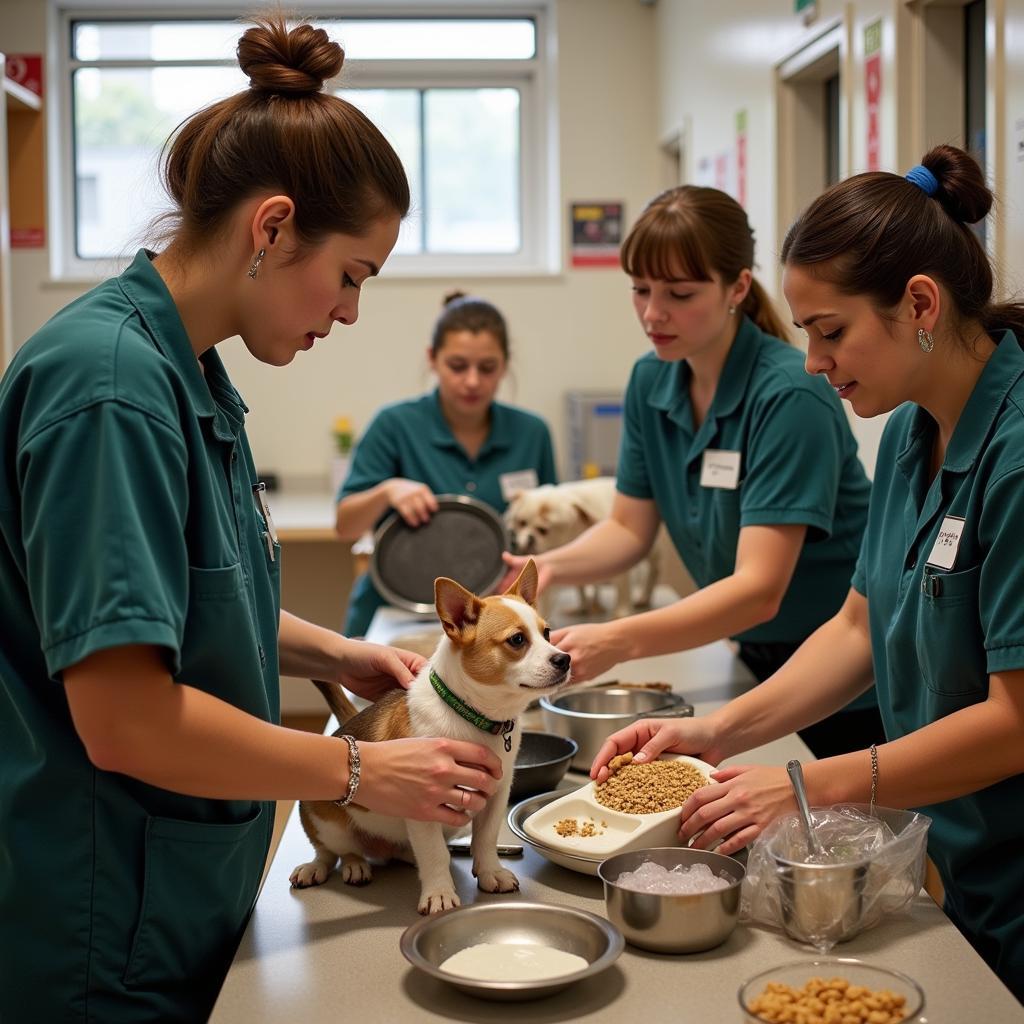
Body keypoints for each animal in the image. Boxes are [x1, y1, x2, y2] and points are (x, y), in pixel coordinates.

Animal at [292, 565, 573, 917]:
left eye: (547, 633)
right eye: (517, 640)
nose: (565, 659)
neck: (473, 719)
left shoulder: (495, 798)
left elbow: (485, 840)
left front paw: (490, 872)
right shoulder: (423, 805)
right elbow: (435, 854)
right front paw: (439, 892)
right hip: (327, 824)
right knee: (333, 851)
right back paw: (337, 866)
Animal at [501, 477, 659, 614]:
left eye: (543, 530)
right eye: (522, 523)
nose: (529, 538)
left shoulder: (621, 565)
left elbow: (623, 590)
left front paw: (621, 613)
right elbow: (579, 586)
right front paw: (582, 606)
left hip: (654, 551)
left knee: (654, 570)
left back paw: (643, 597)